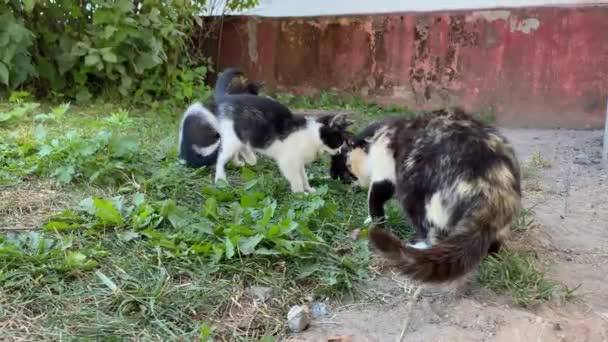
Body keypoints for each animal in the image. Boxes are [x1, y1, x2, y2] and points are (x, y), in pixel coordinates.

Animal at [189, 94, 352, 192]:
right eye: (338, 141)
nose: (339, 151)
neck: (312, 136)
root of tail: (225, 100)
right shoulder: (288, 161)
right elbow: (296, 178)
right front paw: (300, 193)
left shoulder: (298, 161)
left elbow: (303, 175)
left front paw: (309, 189)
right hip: (232, 137)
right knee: (221, 157)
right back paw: (220, 178)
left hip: (238, 137)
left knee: (242, 146)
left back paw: (247, 158)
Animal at [330, 109, 520, 284]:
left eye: (341, 170)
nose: (331, 176)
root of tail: (493, 186)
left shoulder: (385, 173)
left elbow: (375, 201)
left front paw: (372, 222)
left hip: (416, 195)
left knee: (430, 231)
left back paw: (418, 245)